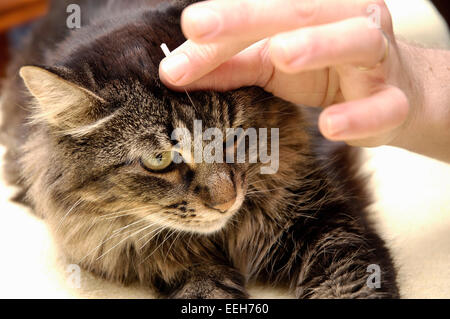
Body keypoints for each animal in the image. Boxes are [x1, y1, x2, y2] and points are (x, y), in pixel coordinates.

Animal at [1, 0, 400, 300]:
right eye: (159, 160)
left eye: (232, 138)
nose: (226, 201)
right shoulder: (179, 268)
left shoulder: (325, 221)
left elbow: (350, 284)